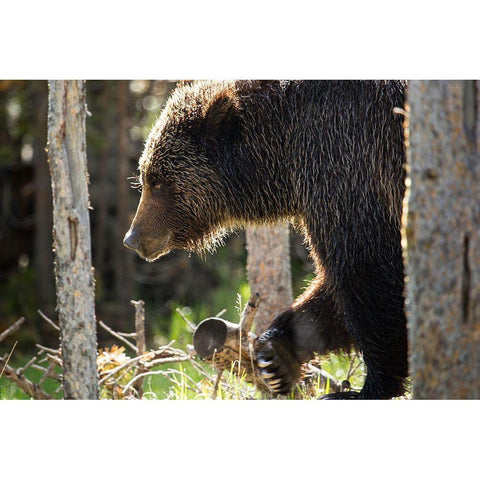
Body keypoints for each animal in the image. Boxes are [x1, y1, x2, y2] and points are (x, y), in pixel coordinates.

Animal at [124, 80, 408, 400]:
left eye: (157, 182)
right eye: (145, 177)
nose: (133, 238)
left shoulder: (349, 167)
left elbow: (367, 270)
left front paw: (367, 387)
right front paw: (277, 356)